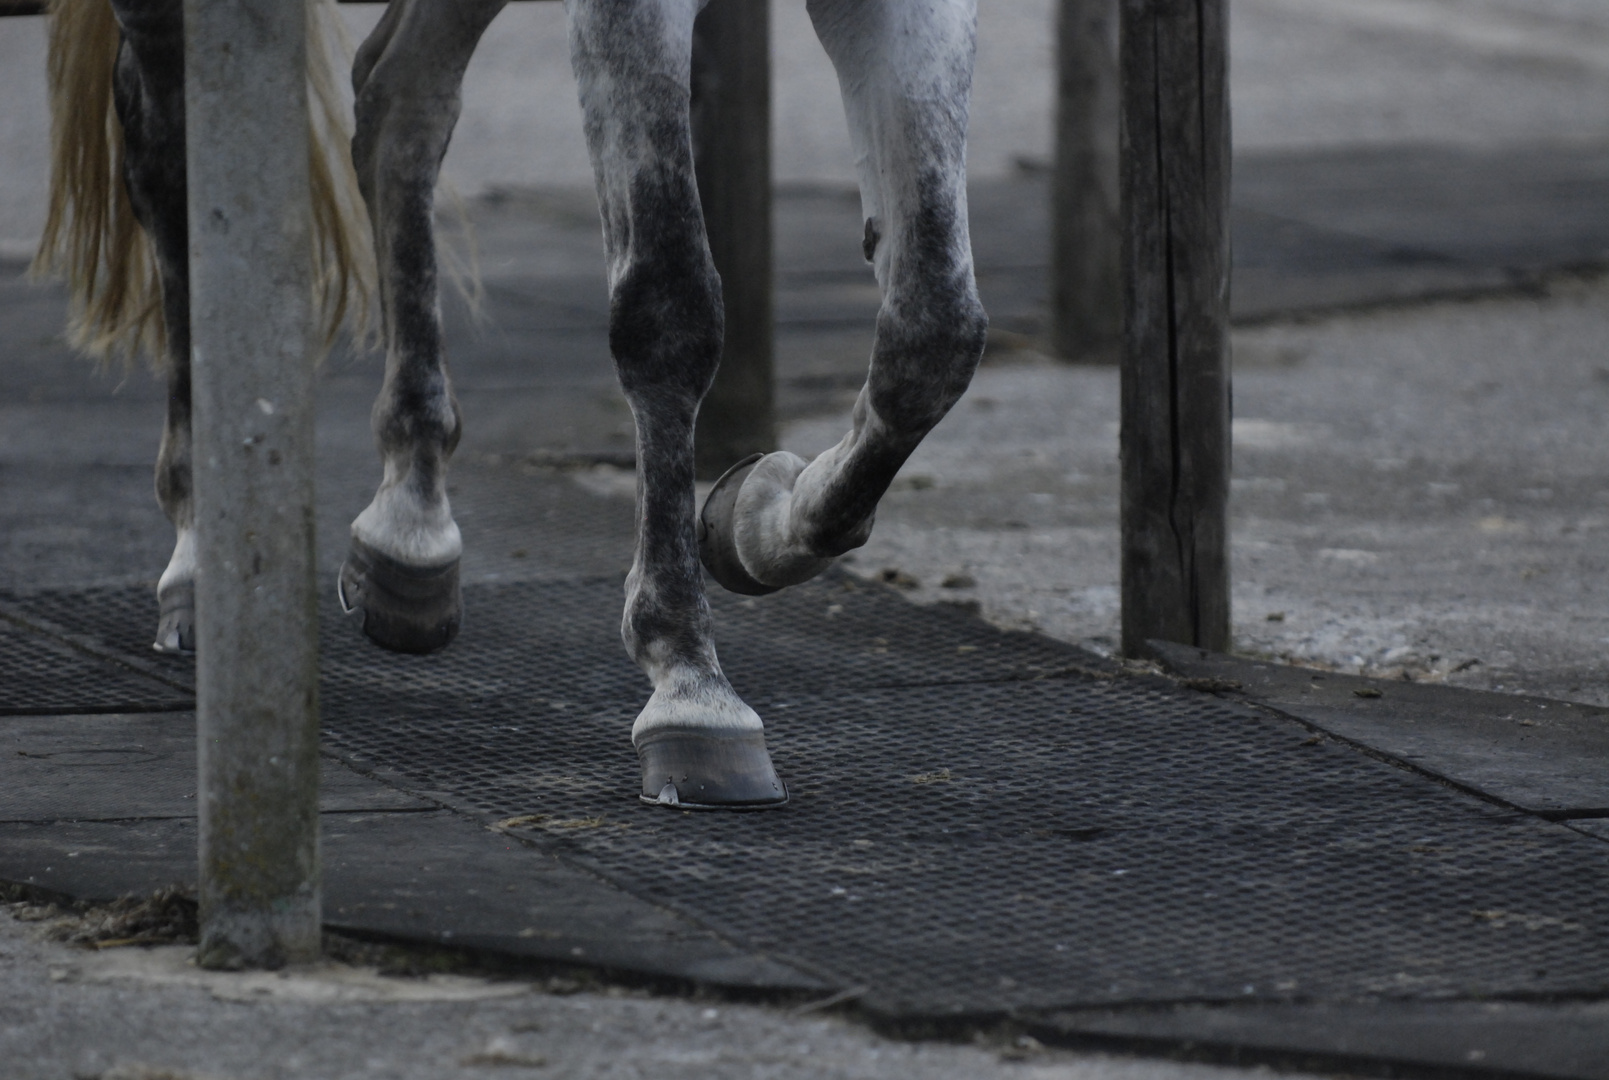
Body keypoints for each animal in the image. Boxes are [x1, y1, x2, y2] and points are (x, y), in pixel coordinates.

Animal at [37, 0, 984, 811]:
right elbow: (669, 305)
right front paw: (689, 680)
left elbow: (935, 329)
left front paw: (758, 517)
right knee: (170, 160)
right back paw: (205, 554)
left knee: (398, 94)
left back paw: (409, 522)